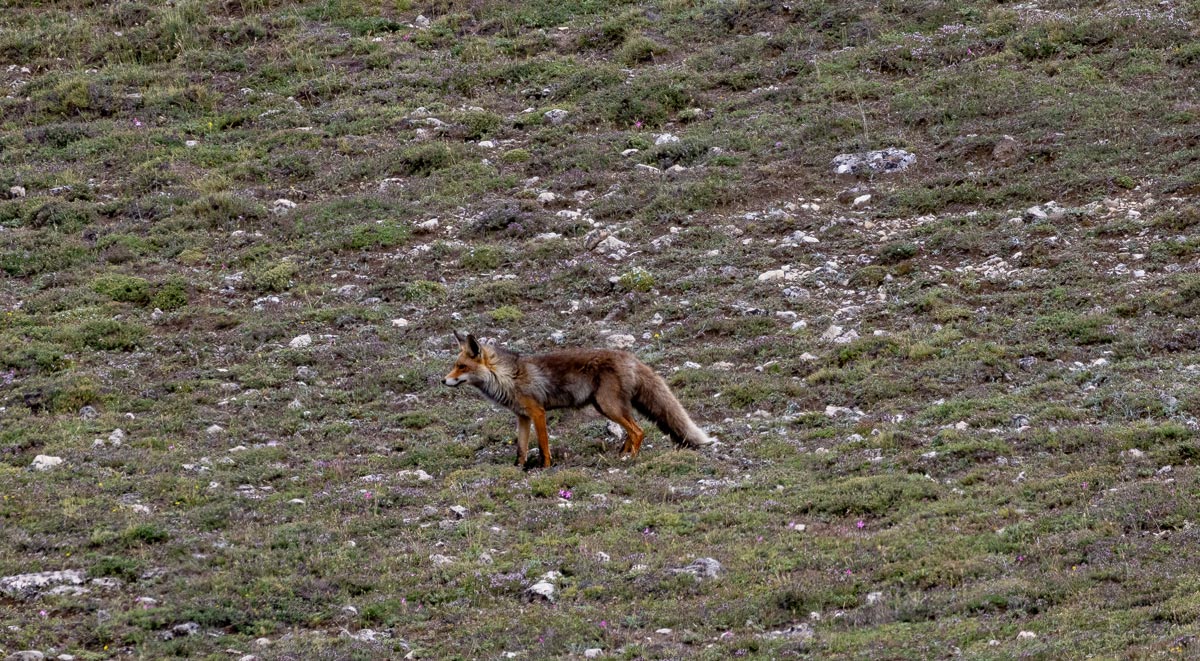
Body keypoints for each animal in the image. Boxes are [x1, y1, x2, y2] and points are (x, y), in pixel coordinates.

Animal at [444, 331, 710, 470]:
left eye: (461, 367)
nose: (443, 380)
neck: (508, 377)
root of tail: (631, 358)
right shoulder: (522, 417)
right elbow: (521, 449)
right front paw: (518, 469)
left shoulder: (538, 412)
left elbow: (543, 445)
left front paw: (545, 467)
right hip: (607, 407)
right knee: (632, 430)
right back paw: (621, 453)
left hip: (609, 407)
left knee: (638, 431)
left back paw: (631, 459)